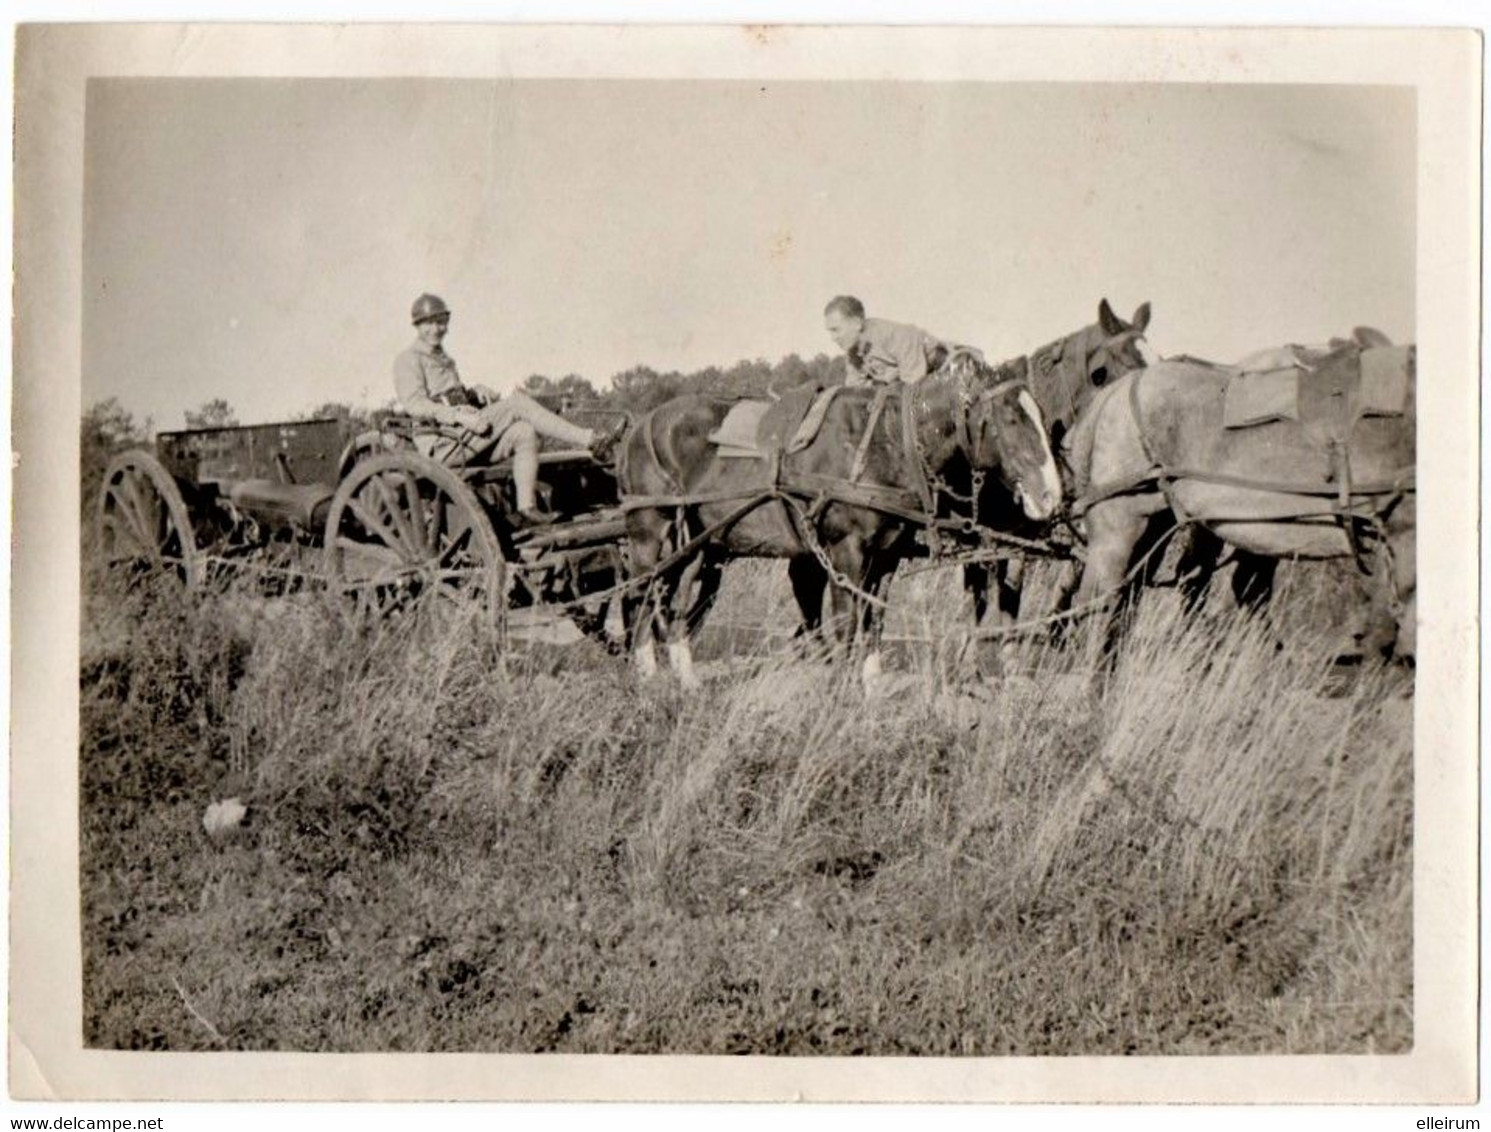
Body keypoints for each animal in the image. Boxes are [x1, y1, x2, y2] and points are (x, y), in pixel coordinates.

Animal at [617, 351, 1061, 692]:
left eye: (1041, 416)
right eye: (1011, 420)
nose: (1051, 497)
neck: (883, 442)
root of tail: (639, 428)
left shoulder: (886, 555)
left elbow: (874, 618)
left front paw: (872, 686)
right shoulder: (845, 551)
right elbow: (848, 621)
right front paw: (844, 691)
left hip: (697, 544)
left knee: (673, 602)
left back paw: (686, 678)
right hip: (648, 534)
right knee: (641, 594)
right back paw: (647, 675)